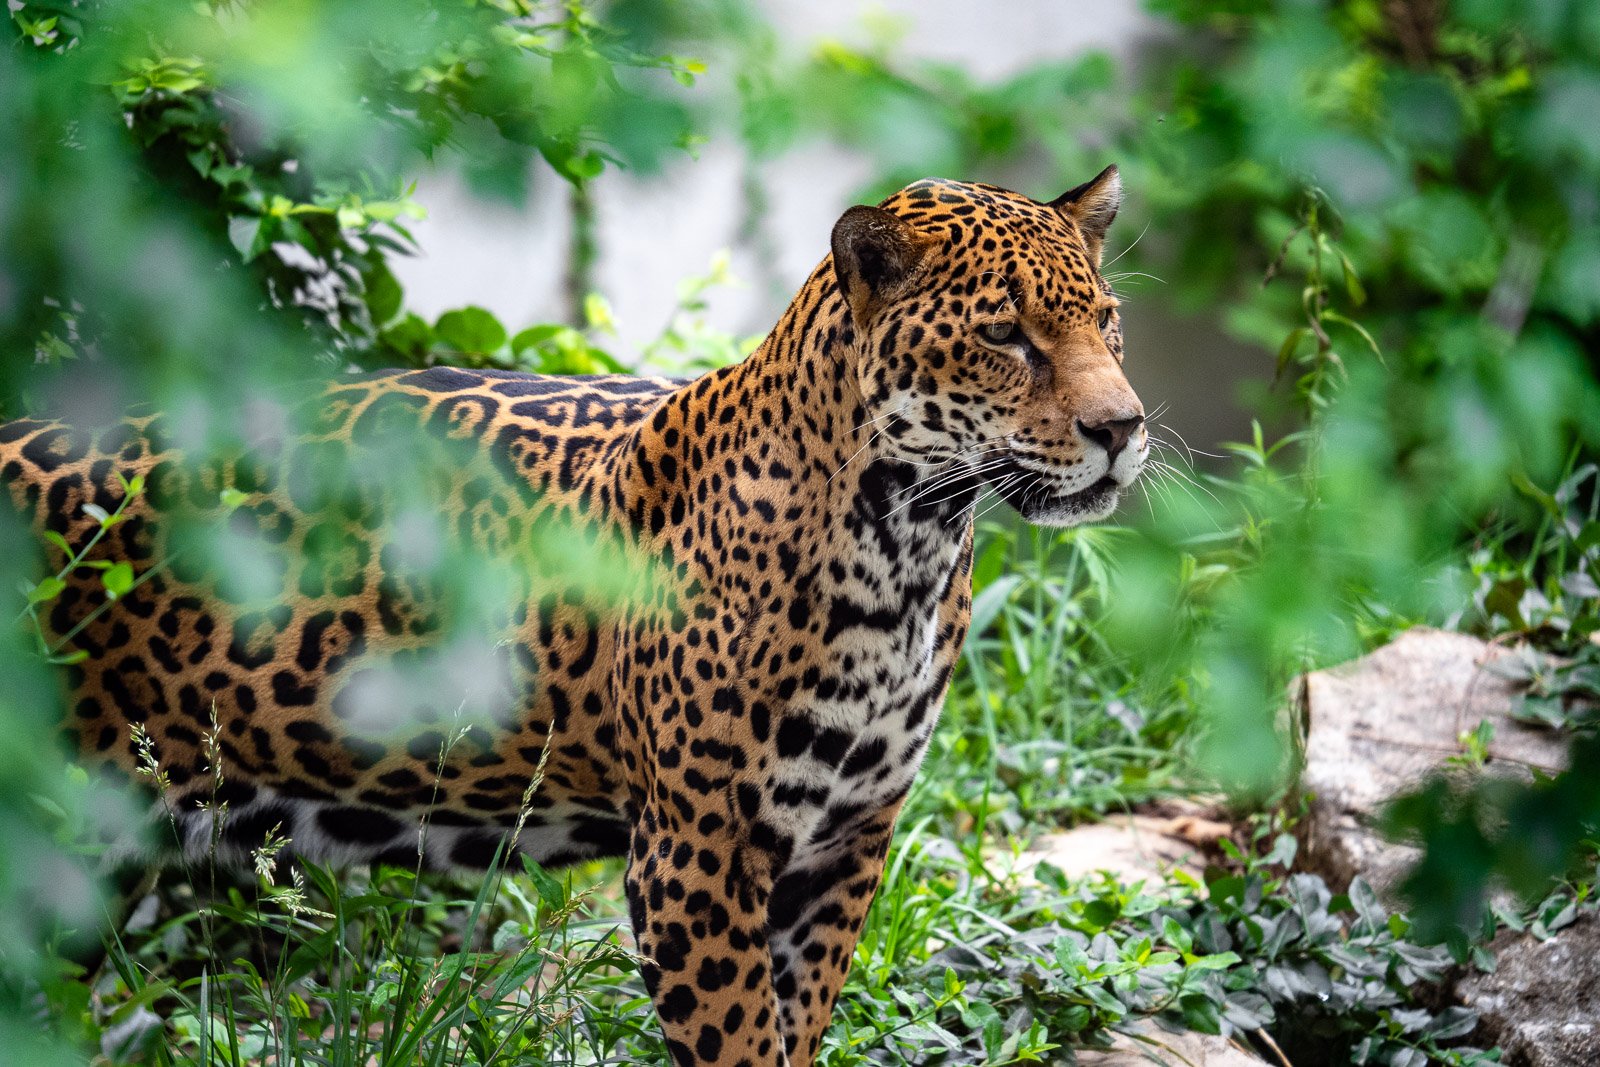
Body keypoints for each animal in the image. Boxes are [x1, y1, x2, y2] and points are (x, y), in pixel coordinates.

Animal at [0, 166, 1146, 1066]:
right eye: (1004, 335)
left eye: (1105, 321)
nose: (1123, 427)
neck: (908, 544)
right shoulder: (697, 854)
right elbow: (743, 1042)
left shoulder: (845, 840)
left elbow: (799, 1020)